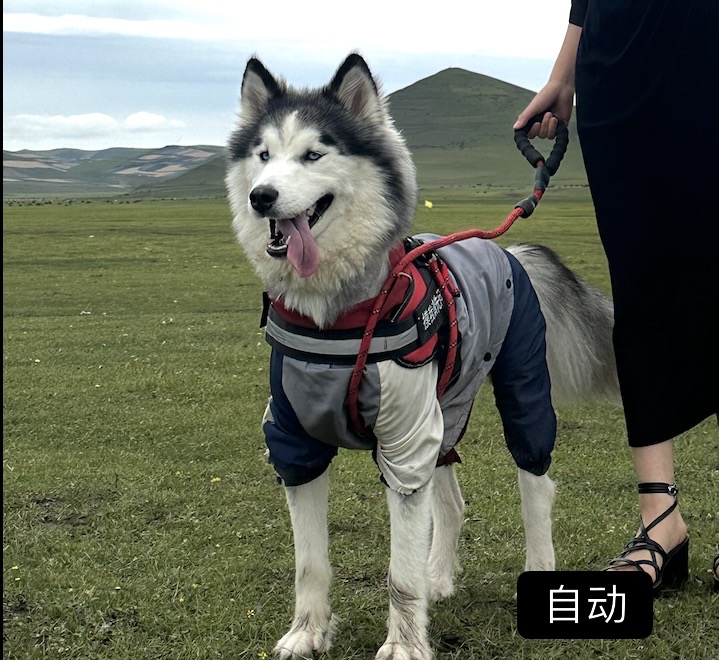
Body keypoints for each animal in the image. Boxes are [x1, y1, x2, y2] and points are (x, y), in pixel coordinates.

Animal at [226, 52, 620, 660]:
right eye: (263, 155)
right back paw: (439, 579)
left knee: (536, 484)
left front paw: (405, 646)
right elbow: (309, 562)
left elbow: (399, 570)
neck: (337, 314)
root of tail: (508, 249)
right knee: (452, 501)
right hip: (446, 404)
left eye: (314, 154)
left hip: (522, 391)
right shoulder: (296, 442)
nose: (261, 196)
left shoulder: (405, 442)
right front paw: (307, 632)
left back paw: (535, 567)